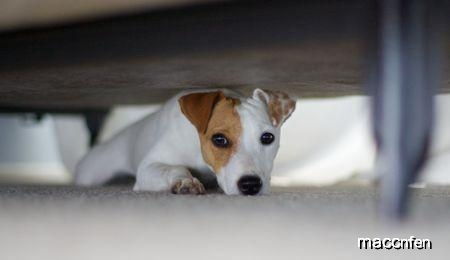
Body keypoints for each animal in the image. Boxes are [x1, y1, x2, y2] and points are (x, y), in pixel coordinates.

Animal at [74, 88, 296, 194]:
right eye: (219, 139)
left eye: (267, 137)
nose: (251, 185)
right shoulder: (148, 167)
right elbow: (174, 168)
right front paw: (185, 181)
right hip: (92, 173)